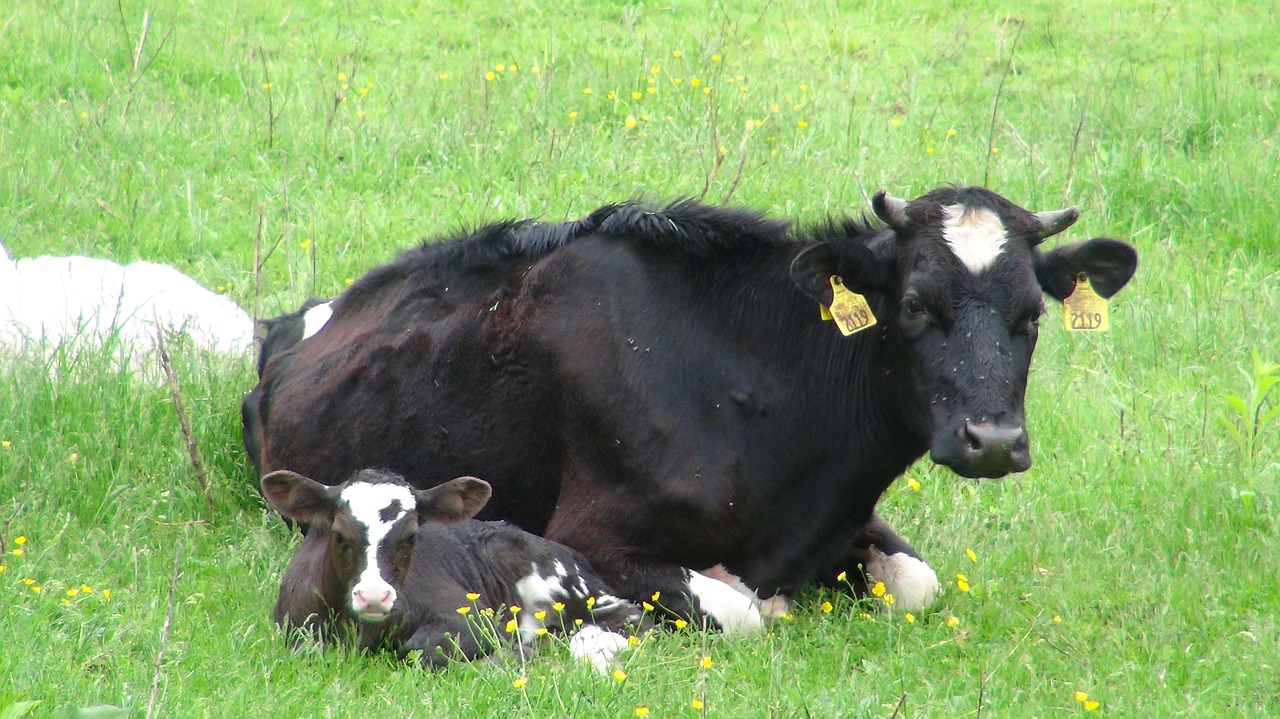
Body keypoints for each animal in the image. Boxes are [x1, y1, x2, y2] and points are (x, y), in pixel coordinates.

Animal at [241, 188, 1141, 624]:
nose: (992, 439)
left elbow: (918, 583)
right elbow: (741, 610)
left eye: (1031, 315)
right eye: (916, 303)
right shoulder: (589, 533)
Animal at [257, 468, 660, 670]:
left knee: (632, 619)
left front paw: (510, 654)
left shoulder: (468, 619)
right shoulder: (294, 629)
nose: (374, 596)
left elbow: (418, 651)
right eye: (339, 534)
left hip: (562, 586)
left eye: (411, 536)